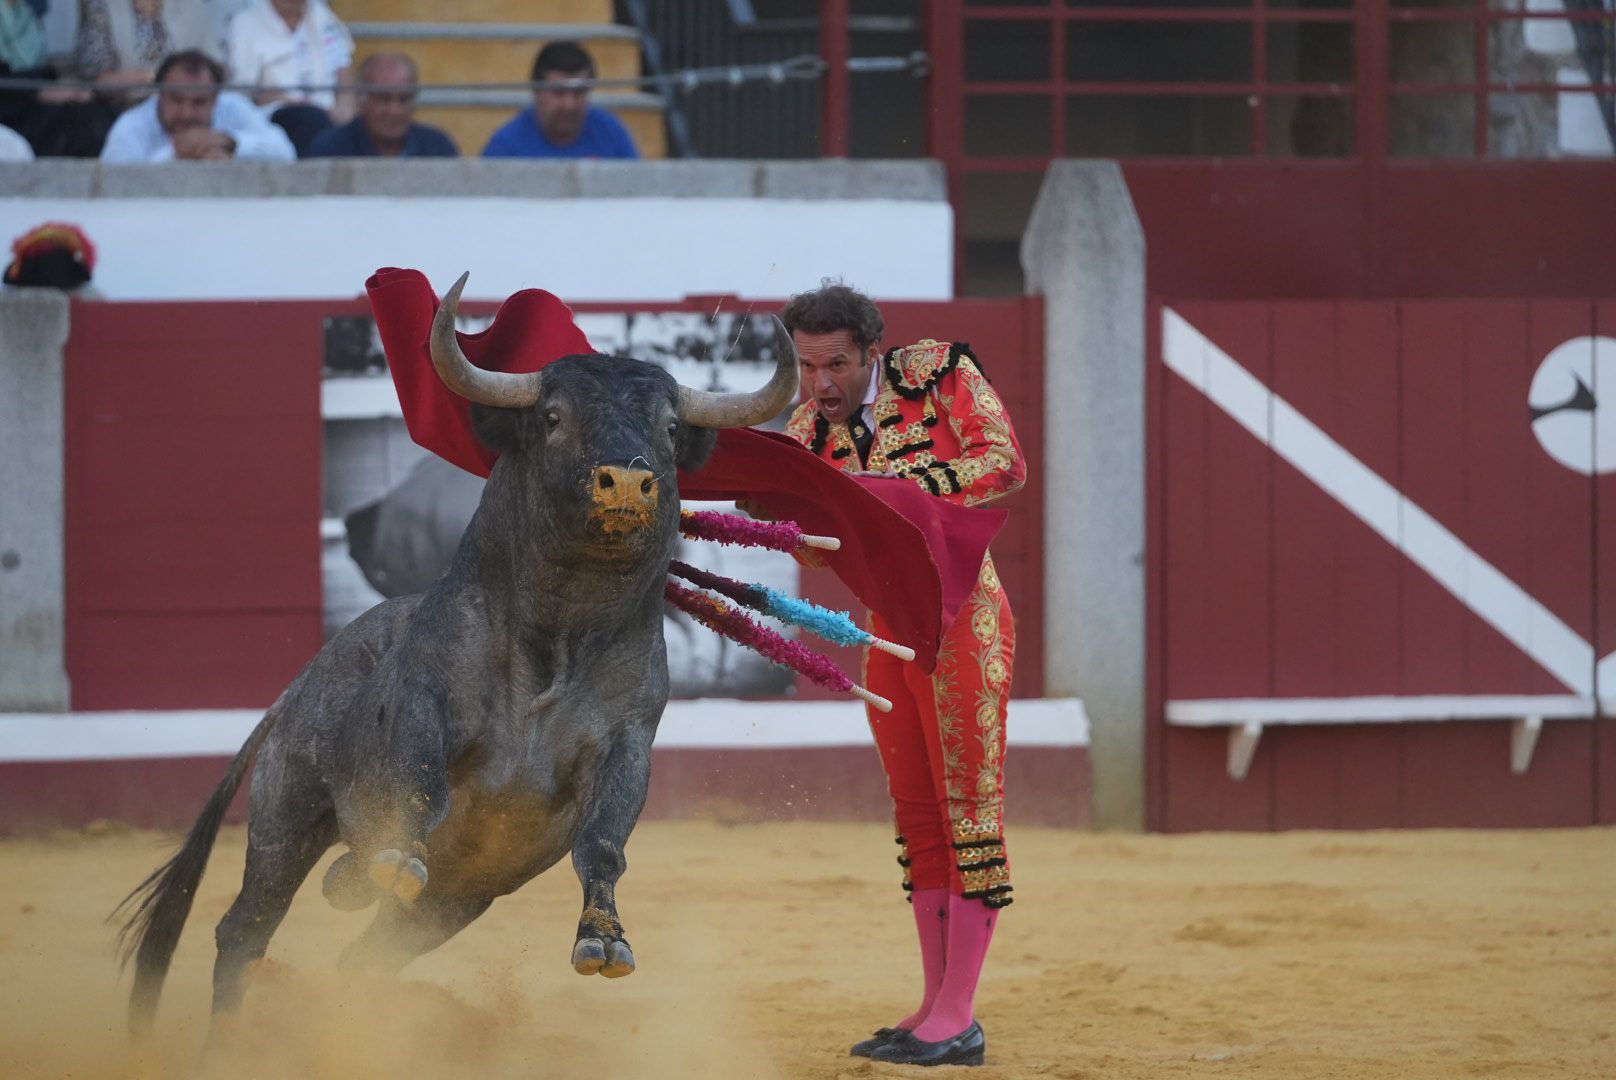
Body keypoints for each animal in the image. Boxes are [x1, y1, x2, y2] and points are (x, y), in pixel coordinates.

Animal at [110, 270, 798, 1028]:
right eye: (552, 417)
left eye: (671, 428)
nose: (625, 481)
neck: (559, 637)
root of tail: (301, 682)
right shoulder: (425, 703)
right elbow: (422, 788)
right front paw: (388, 860)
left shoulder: (627, 743)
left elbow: (603, 844)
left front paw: (605, 939)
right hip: (285, 820)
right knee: (245, 929)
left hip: (455, 901)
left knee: (364, 956)